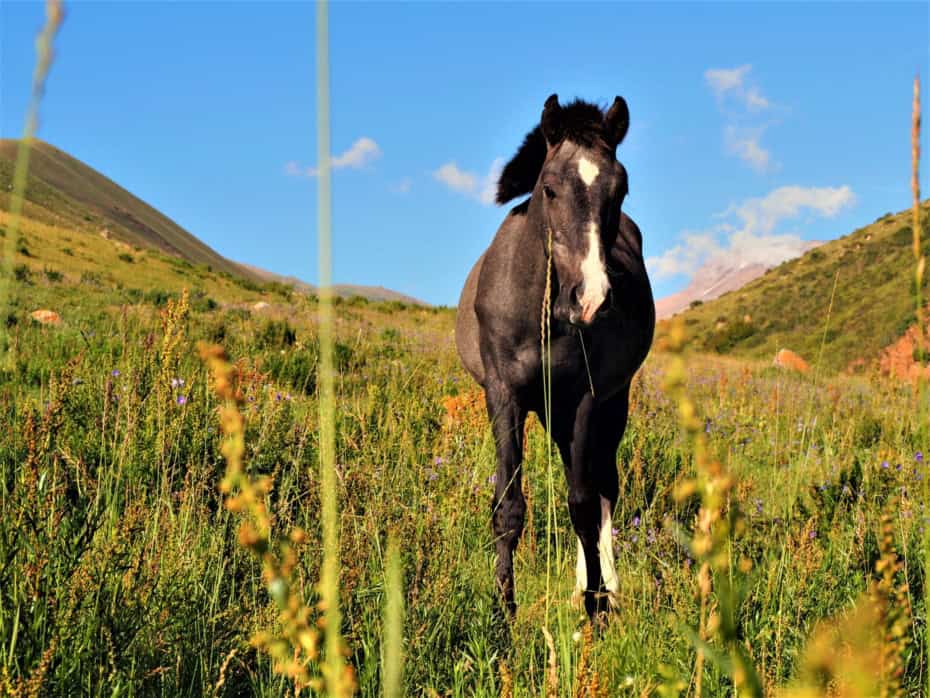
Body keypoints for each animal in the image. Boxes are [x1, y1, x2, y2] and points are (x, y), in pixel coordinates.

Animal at [455, 94, 655, 619]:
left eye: (620, 189)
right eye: (548, 188)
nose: (591, 299)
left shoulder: (586, 397)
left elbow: (583, 505)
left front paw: (597, 604)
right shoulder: (504, 395)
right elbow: (509, 506)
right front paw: (504, 608)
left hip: (608, 404)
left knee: (603, 488)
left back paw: (603, 586)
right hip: (551, 412)